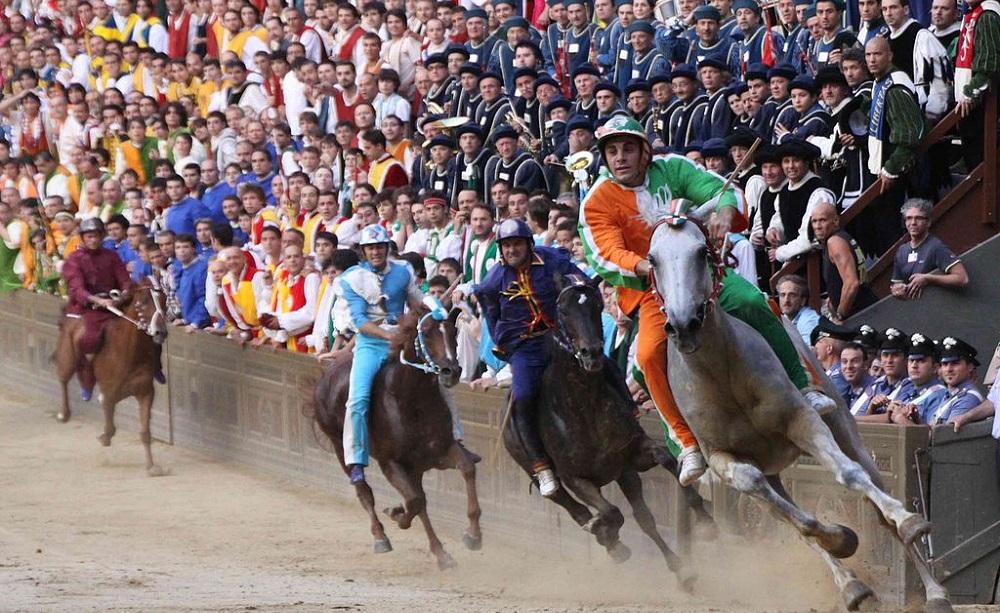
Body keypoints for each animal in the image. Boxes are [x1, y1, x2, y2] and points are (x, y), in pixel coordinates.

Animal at [53, 280, 169, 476]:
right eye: (143, 302)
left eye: (164, 301)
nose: (160, 332)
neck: (129, 353)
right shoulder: (109, 392)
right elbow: (109, 423)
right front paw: (104, 437)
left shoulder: (145, 392)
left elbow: (145, 432)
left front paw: (151, 466)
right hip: (67, 356)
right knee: (63, 378)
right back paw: (64, 413)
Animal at [312, 306, 484, 568]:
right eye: (426, 332)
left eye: (454, 332)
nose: (451, 371)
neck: (411, 400)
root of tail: (327, 374)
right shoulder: (391, 462)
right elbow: (414, 501)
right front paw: (396, 515)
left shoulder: (440, 451)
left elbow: (466, 469)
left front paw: (473, 535)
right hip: (341, 449)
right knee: (365, 492)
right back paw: (381, 537)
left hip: (416, 467)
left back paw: (440, 553)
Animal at [500, 274, 712, 588]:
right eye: (562, 310)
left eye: (597, 304)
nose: (592, 353)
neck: (584, 407)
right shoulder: (576, 478)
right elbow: (611, 512)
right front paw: (604, 530)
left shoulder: (630, 455)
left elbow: (664, 460)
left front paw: (703, 516)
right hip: (534, 470)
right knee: (569, 505)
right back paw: (604, 534)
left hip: (623, 474)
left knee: (644, 518)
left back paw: (680, 569)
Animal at [640, 202, 952, 612]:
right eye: (653, 259)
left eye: (701, 252)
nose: (683, 324)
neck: (723, 374)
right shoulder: (723, 459)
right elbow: (796, 520)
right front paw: (842, 539)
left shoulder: (801, 421)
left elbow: (848, 474)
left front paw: (903, 521)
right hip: (770, 470)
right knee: (784, 509)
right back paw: (852, 585)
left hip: (845, 429)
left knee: (872, 490)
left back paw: (933, 589)